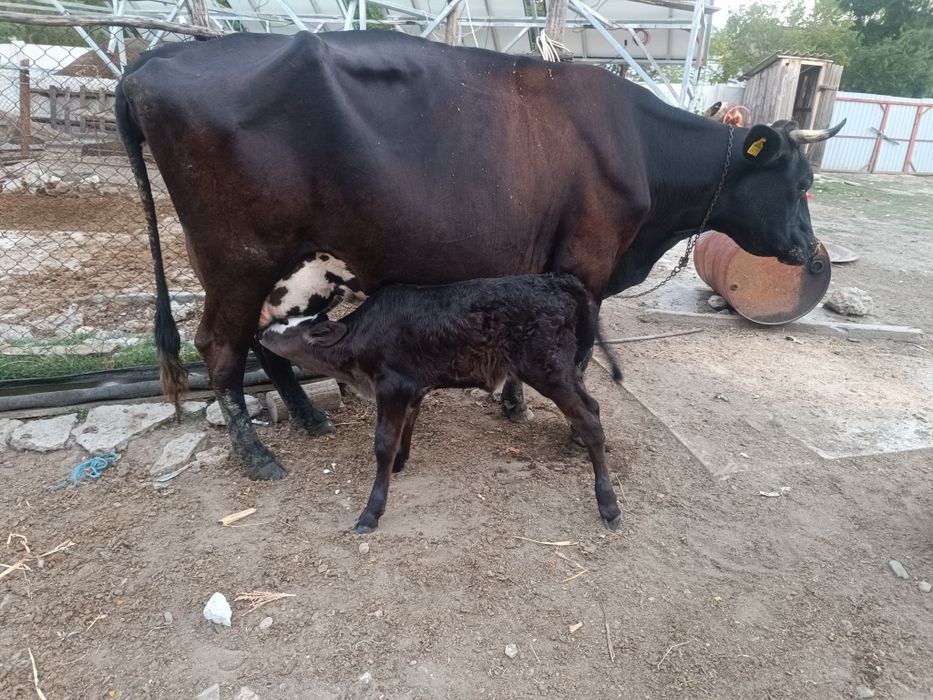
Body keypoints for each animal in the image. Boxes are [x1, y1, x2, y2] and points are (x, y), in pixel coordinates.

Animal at [114, 30, 845, 481]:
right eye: (799, 181)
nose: (810, 253)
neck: (637, 147)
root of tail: (155, 59)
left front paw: (514, 402)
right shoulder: (583, 270)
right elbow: (576, 355)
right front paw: (568, 428)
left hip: (298, 266)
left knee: (268, 340)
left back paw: (310, 416)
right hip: (236, 258)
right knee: (219, 349)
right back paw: (258, 455)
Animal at [260, 273, 624, 532]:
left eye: (289, 326)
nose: (260, 333)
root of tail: (556, 280)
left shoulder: (392, 386)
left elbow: (383, 443)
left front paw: (372, 511)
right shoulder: (413, 387)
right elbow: (408, 425)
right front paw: (400, 462)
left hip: (548, 369)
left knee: (589, 421)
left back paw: (609, 505)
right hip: (564, 371)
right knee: (593, 407)